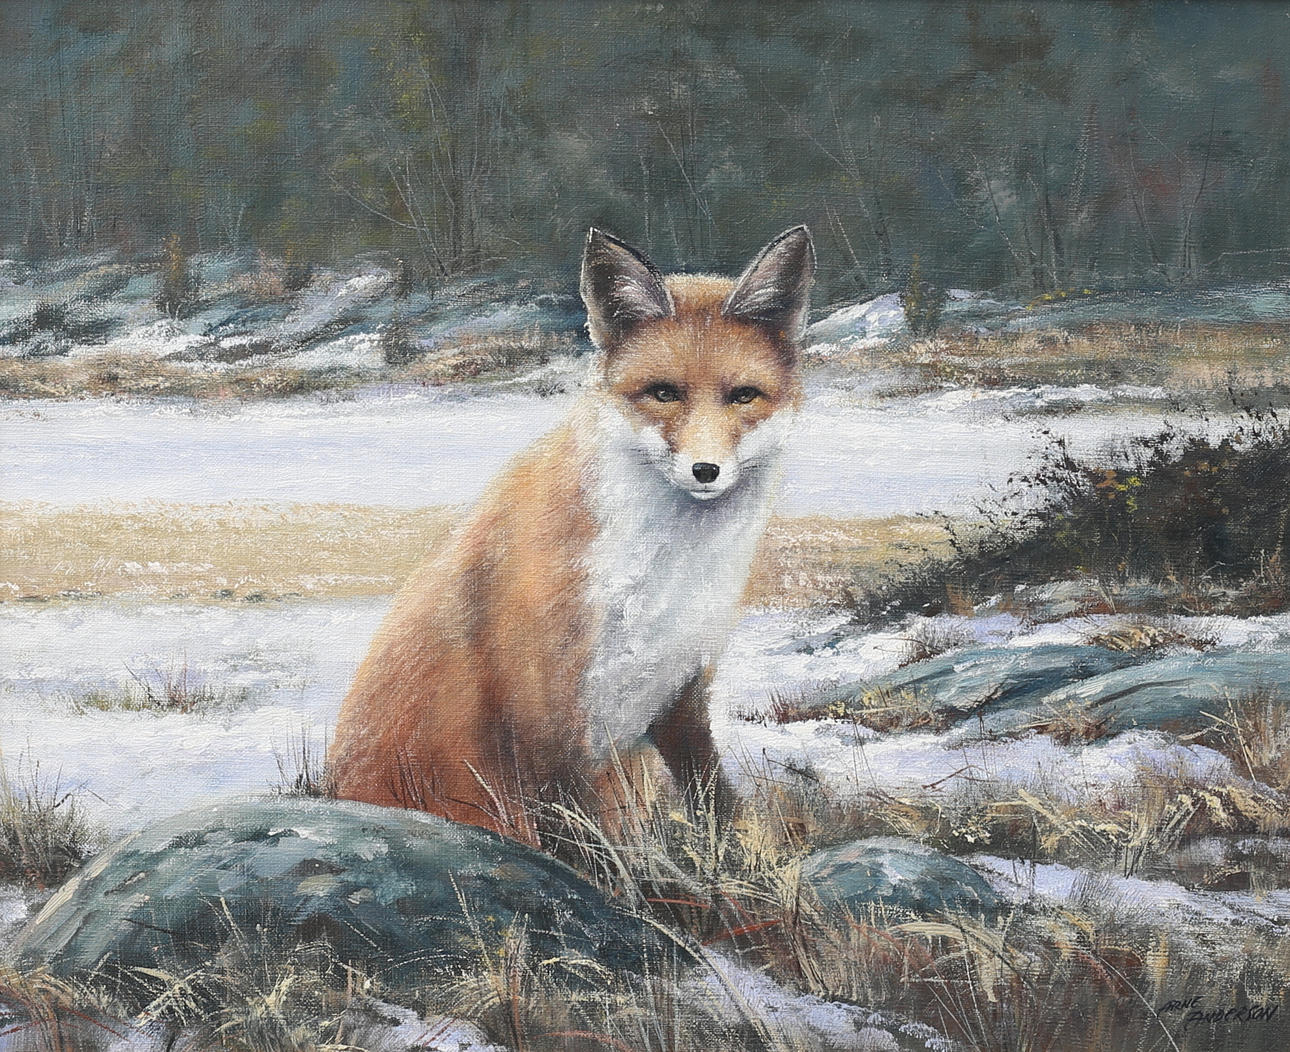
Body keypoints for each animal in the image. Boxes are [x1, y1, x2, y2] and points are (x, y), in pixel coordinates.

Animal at [328, 225, 815, 842]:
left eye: (743, 395)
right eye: (664, 393)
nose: (706, 471)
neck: (661, 576)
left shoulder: (680, 691)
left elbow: (714, 801)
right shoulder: (547, 720)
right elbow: (582, 844)